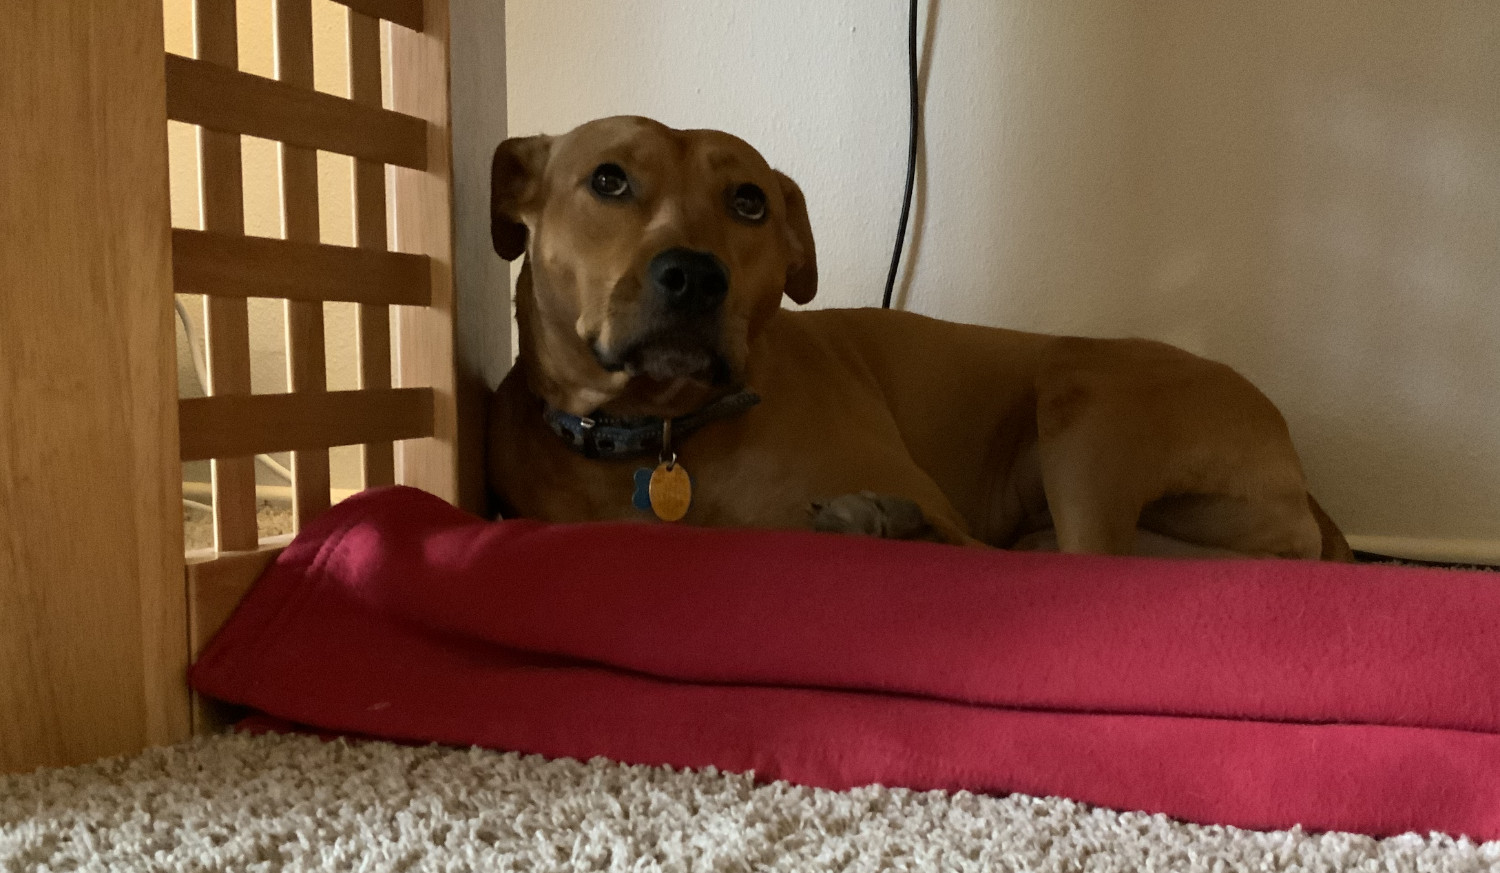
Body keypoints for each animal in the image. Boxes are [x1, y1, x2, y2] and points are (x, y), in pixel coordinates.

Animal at [486, 117, 1356, 561]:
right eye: (608, 179)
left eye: (749, 201)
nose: (696, 275)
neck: (667, 433)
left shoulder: (942, 505)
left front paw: (878, 517)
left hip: (1085, 395)